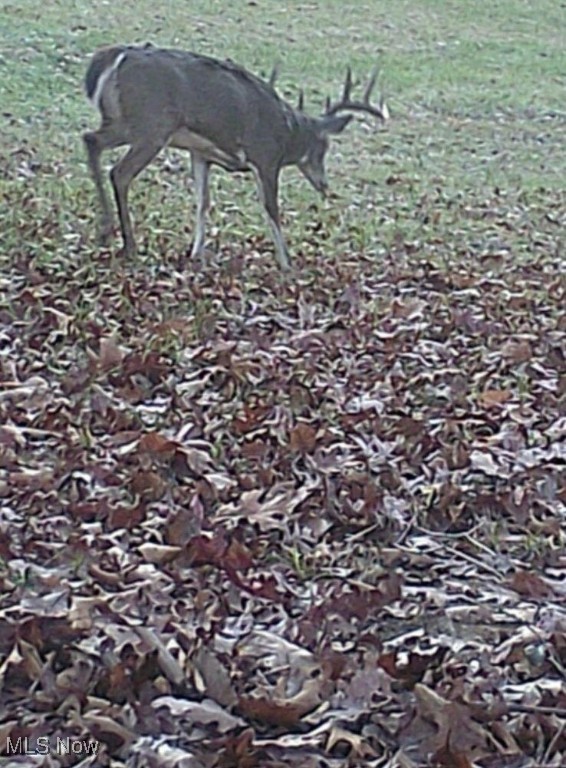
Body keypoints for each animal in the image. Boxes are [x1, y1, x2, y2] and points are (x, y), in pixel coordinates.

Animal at [83, 43, 390, 270]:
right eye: (322, 147)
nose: (324, 185)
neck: (288, 131)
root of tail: (111, 59)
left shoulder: (200, 153)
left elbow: (203, 202)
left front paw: (196, 253)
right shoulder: (264, 157)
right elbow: (271, 208)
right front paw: (287, 263)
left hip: (125, 121)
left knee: (90, 139)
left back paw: (104, 232)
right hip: (151, 124)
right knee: (119, 172)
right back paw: (129, 245)